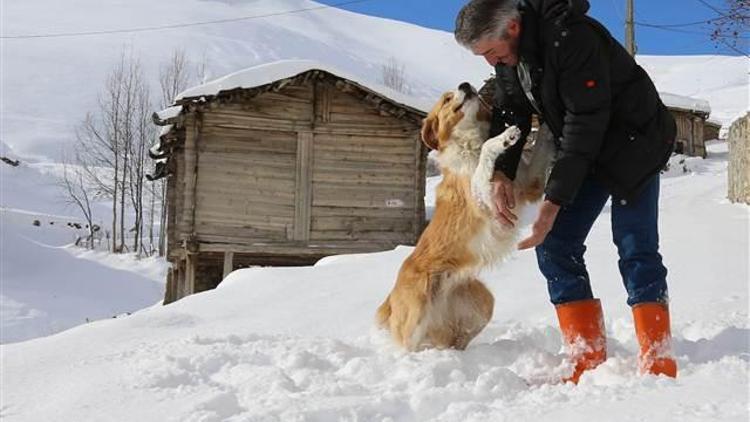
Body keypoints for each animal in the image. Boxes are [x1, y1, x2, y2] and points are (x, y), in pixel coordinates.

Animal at [378, 81, 556, 350]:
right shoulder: (485, 198)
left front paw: (546, 123)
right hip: (418, 306)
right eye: (446, 99)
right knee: (408, 345)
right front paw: (503, 138)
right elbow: (486, 152)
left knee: (456, 339)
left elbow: (541, 146)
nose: (465, 84)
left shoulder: (529, 185)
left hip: (484, 302)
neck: (470, 142)